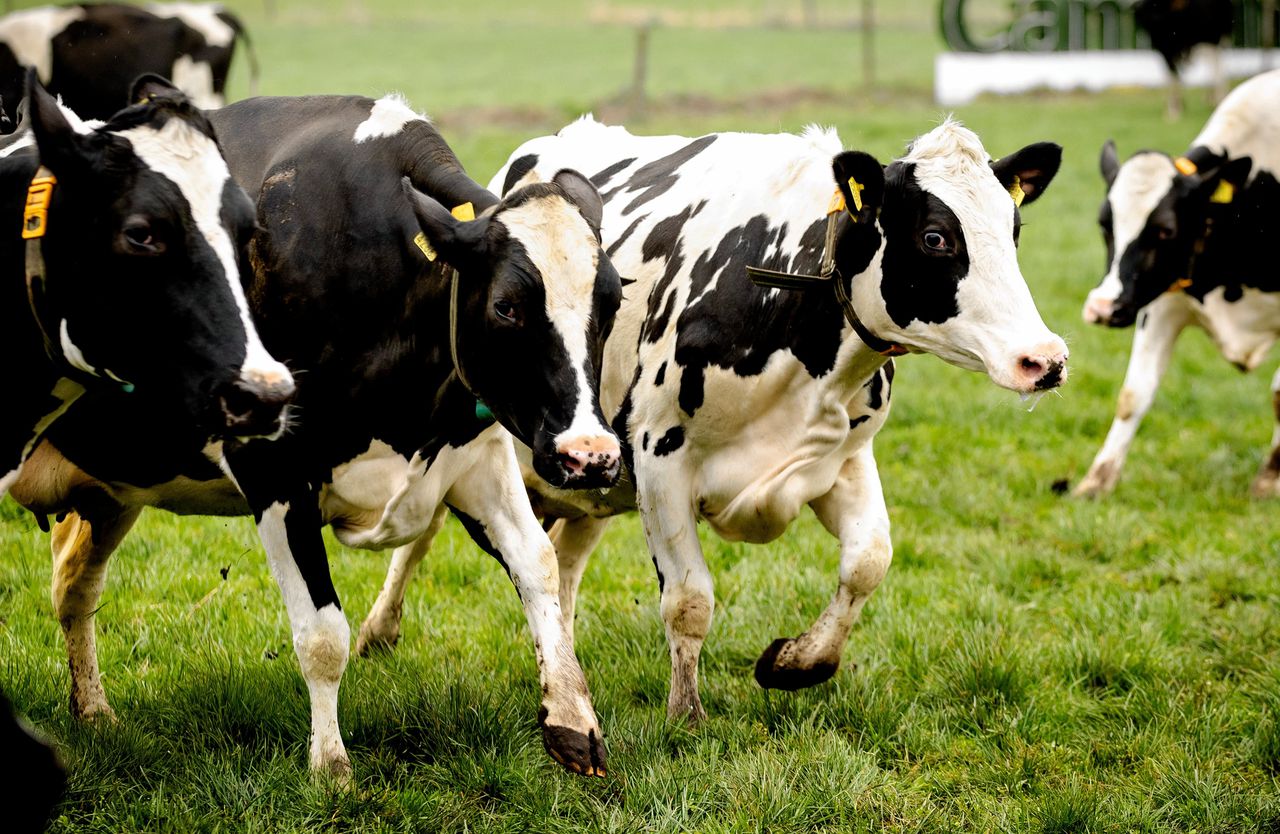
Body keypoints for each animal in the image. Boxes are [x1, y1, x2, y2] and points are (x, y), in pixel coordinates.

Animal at [15, 94, 622, 777]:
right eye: (506, 306)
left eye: (612, 301)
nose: (592, 456)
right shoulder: (273, 469)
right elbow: (323, 634)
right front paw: (331, 767)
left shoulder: (476, 459)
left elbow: (538, 566)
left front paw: (573, 720)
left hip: (113, 488)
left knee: (73, 587)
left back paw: (93, 712)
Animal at [353, 117, 1070, 721]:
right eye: (935, 237)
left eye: (1013, 229)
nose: (1045, 358)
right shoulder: (660, 458)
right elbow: (689, 599)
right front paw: (686, 716)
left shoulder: (841, 457)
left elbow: (869, 560)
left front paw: (798, 662)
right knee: (426, 534)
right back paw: (379, 631)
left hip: (590, 472)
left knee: (564, 558)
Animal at [1075, 66, 1274, 496]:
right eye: (1104, 224)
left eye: (1165, 231)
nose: (1102, 307)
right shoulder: (1161, 302)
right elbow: (1133, 394)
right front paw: (1095, 483)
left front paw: (1269, 480)